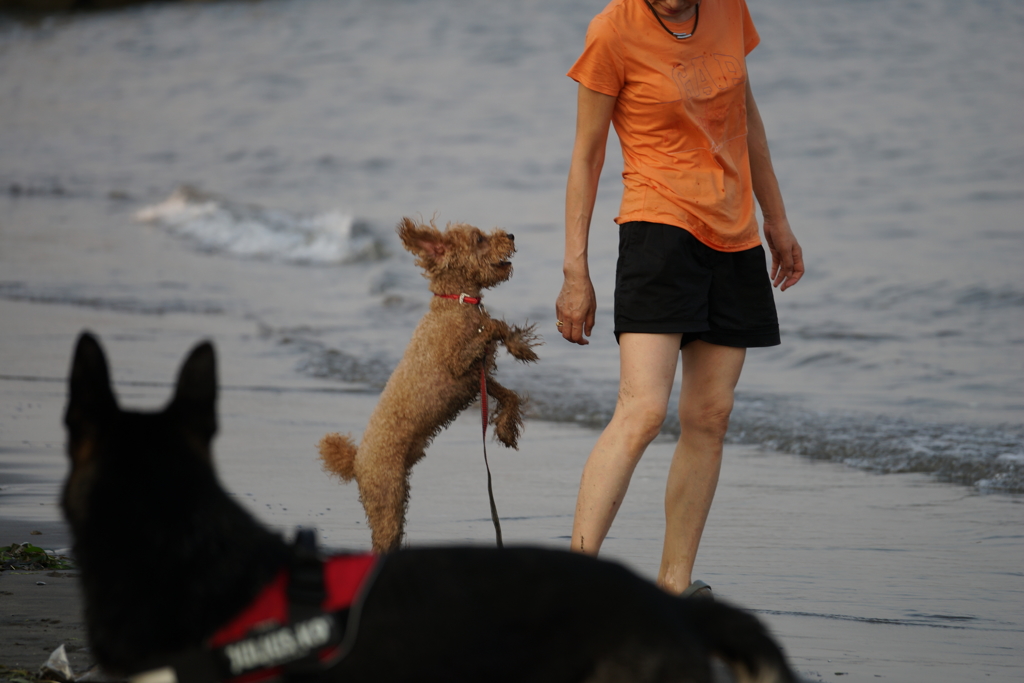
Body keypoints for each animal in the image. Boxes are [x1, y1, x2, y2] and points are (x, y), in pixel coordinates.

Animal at [319, 216, 544, 552]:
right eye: (479, 239)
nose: (512, 234)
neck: (455, 303)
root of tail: (356, 460)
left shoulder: (475, 378)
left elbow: (508, 394)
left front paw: (506, 427)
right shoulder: (457, 364)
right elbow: (493, 325)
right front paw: (515, 343)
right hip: (387, 495)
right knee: (383, 539)